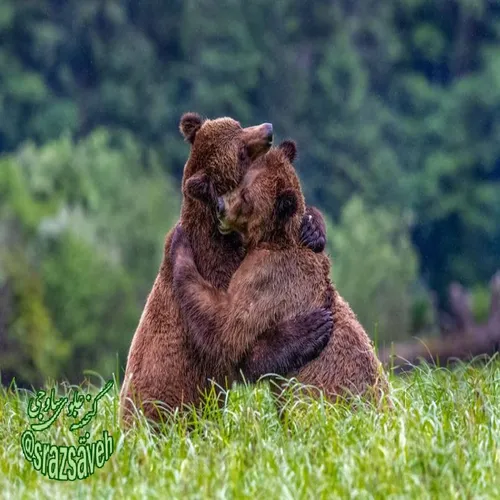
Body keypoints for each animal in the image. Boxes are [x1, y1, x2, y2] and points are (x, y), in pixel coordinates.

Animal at [119, 113, 334, 422]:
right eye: (241, 151)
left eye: (238, 124)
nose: (268, 130)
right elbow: (232, 338)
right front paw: (310, 329)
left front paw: (313, 229)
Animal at [171, 139, 390, 404]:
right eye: (239, 182)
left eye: (247, 197)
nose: (220, 206)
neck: (273, 238)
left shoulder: (267, 275)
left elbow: (227, 325)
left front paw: (180, 245)